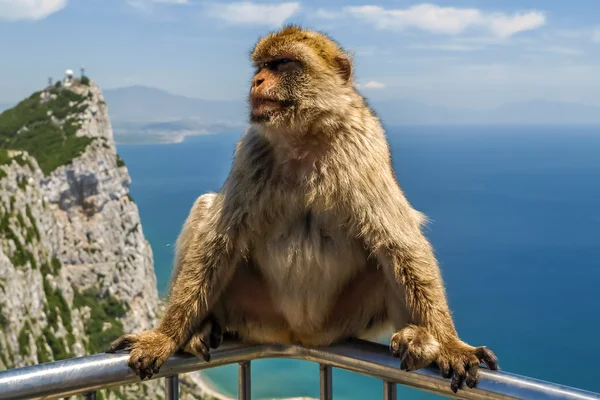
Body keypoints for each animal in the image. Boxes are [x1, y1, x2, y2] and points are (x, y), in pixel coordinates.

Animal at [106, 25, 496, 394]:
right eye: (262, 66)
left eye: (282, 64)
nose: (256, 81)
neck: (305, 137)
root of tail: (301, 335)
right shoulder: (252, 149)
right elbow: (218, 241)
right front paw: (165, 336)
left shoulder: (364, 142)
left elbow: (400, 243)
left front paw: (451, 345)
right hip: (259, 314)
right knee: (205, 209)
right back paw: (200, 329)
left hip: (346, 319)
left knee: (389, 256)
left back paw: (420, 340)